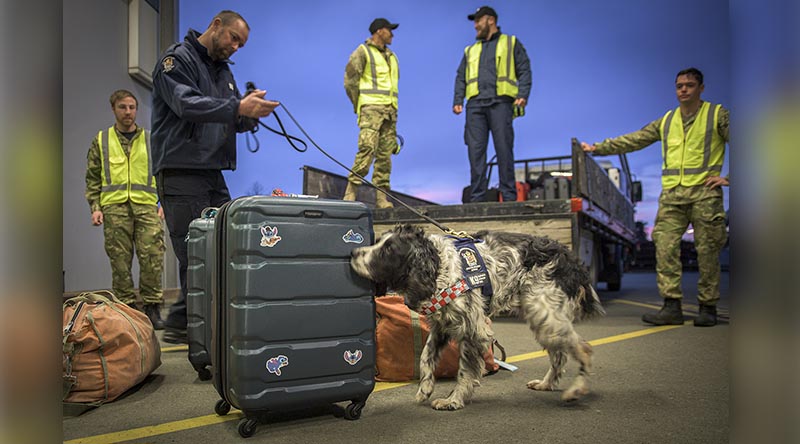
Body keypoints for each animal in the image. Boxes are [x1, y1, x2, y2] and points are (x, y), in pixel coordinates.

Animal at [350, 224, 608, 412]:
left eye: (388, 250)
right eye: (378, 241)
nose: (352, 252)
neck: (440, 269)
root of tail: (570, 258)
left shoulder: (472, 330)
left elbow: (464, 371)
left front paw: (453, 400)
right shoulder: (442, 326)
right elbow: (425, 357)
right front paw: (425, 388)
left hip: (544, 312)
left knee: (583, 349)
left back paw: (576, 389)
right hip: (542, 317)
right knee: (559, 354)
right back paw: (546, 384)